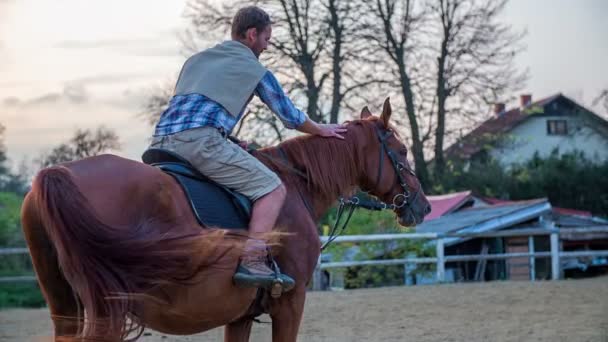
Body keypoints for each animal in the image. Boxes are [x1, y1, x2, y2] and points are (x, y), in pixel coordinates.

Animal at [22, 97, 432, 340]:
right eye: (401, 150)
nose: (423, 205)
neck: (295, 183)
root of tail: (57, 173)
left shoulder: (239, 315)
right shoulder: (291, 302)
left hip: (67, 312)